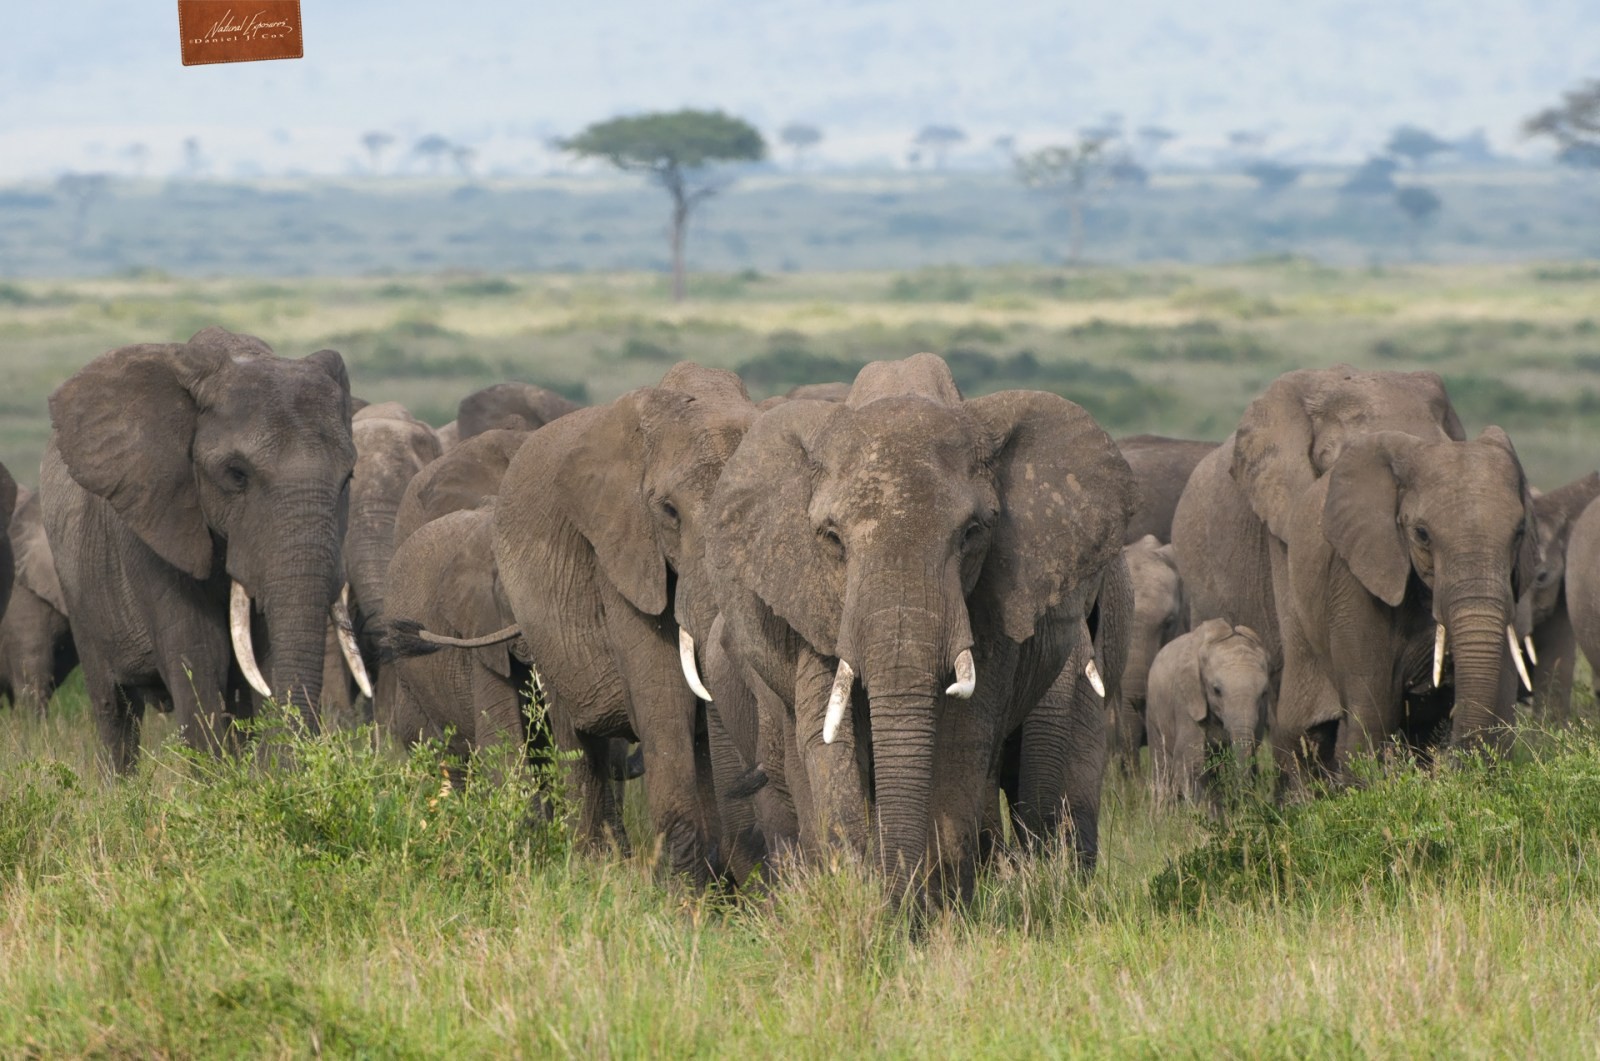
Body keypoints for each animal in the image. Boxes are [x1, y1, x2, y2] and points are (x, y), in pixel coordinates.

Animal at [41, 327, 357, 772]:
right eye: (236, 474)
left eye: (348, 478)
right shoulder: (154, 521)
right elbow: (200, 657)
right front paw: (222, 782)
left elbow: (262, 660)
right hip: (79, 591)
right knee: (115, 710)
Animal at [707, 352, 1134, 901]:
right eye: (832, 539)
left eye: (972, 534)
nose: (894, 901)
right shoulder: (812, 604)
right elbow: (826, 737)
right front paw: (856, 890)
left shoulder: (993, 603)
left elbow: (962, 737)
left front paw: (933, 906)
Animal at [1146, 619, 1271, 809]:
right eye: (1216, 690)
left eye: (1263, 693)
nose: (1240, 802)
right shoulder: (1186, 702)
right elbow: (1190, 761)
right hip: (1154, 714)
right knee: (1162, 766)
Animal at [1277, 428, 1536, 781]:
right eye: (1422, 534)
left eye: (1520, 532)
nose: (1454, 766)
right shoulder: (1353, 579)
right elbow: (1371, 713)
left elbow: (1498, 709)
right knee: (1303, 733)